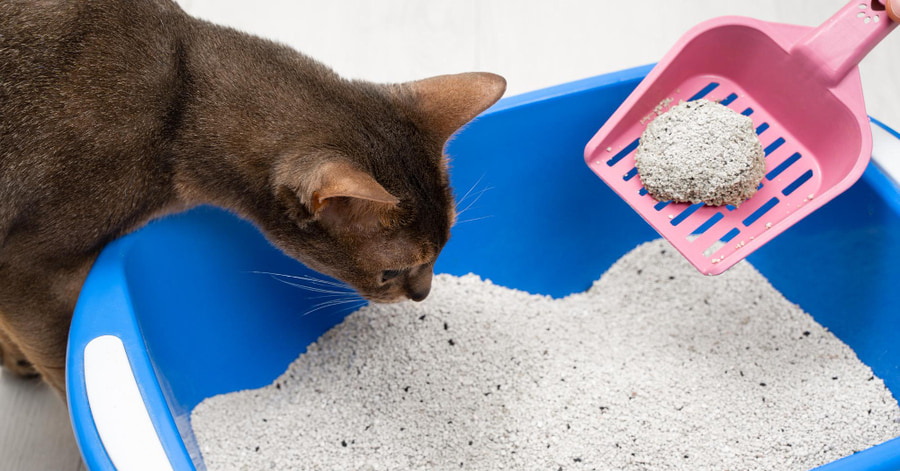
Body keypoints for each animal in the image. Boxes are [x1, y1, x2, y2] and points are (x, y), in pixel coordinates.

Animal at [0, 0, 506, 392]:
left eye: (444, 248)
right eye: (392, 273)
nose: (423, 294)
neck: (181, 90)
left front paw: (12, 353)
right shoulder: (30, 270)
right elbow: (62, 367)